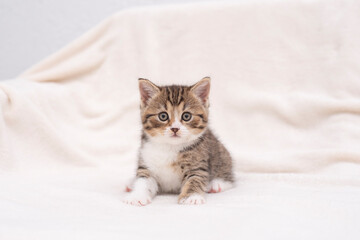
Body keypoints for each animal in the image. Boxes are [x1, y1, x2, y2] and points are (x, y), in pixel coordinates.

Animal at [124, 77, 235, 206]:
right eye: (163, 116)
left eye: (186, 116)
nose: (175, 128)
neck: (169, 146)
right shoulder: (146, 160)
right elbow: (143, 180)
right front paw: (136, 196)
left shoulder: (197, 164)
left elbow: (195, 179)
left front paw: (191, 197)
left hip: (222, 154)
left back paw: (216, 184)